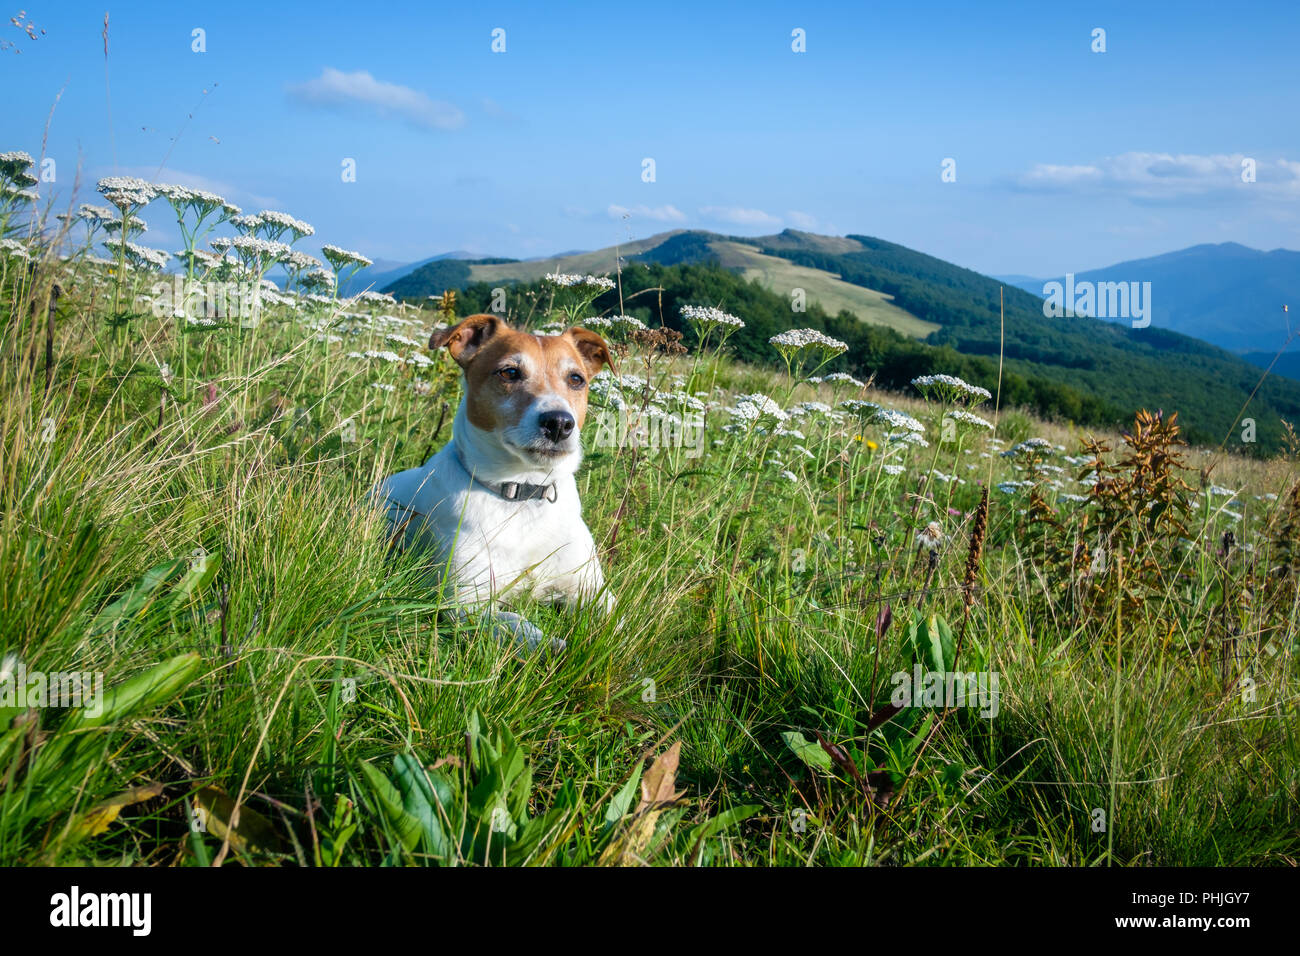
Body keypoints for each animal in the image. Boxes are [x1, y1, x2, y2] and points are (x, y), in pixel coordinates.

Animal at [374, 314, 616, 650]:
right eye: (510, 372)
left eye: (576, 379)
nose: (559, 423)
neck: (524, 493)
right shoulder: (466, 602)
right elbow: (518, 625)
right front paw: (552, 646)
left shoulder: (591, 588)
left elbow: (617, 624)